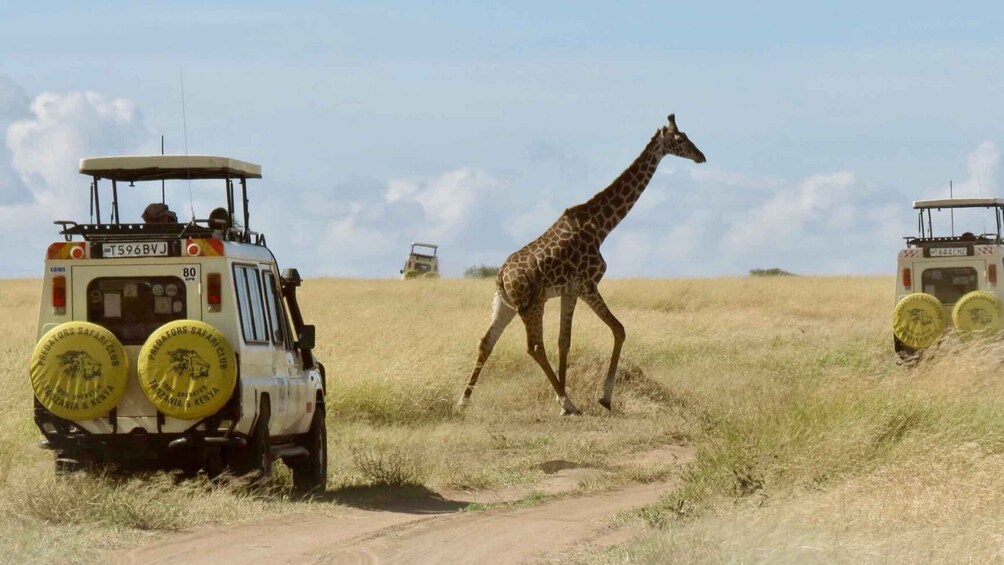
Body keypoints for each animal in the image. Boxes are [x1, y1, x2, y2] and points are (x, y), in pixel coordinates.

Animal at [457, 114, 706, 415]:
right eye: (680, 139)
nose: (701, 156)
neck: (601, 227)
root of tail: (502, 276)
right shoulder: (586, 285)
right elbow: (618, 330)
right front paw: (599, 398)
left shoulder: (569, 290)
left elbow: (565, 342)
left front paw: (564, 399)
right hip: (532, 304)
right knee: (534, 347)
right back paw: (569, 401)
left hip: (504, 304)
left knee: (486, 342)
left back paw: (463, 401)